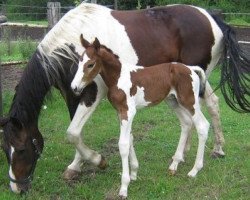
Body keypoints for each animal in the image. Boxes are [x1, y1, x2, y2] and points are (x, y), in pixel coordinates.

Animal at [71, 35, 210, 198]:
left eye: (90, 64)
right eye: (79, 61)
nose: (74, 87)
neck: (118, 77)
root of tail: (191, 69)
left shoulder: (128, 112)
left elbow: (123, 144)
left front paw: (124, 187)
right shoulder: (120, 112)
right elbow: (130, 139)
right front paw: (134, 173)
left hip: (189, 101)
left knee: (202, 125)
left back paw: (194, 170)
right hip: (173, 101)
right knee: (187, 123)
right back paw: (174, 164)